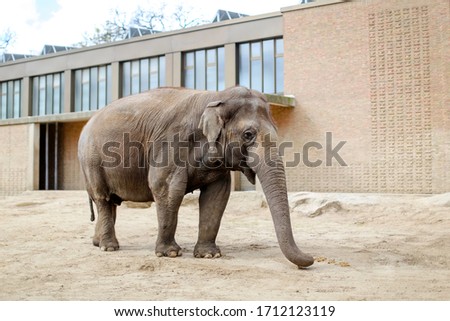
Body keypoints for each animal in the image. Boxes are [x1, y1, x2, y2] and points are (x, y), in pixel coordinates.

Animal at [77, 85, 314, 268]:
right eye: (248, 134)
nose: (312, 258)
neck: (215, 97)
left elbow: (217, 196)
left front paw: (209, 255)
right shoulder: (171, 143)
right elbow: (166, 188)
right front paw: (170, 254)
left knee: (110, 203)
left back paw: (98, 243)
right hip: (92, 160)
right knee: (103, 198)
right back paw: (109, 248)